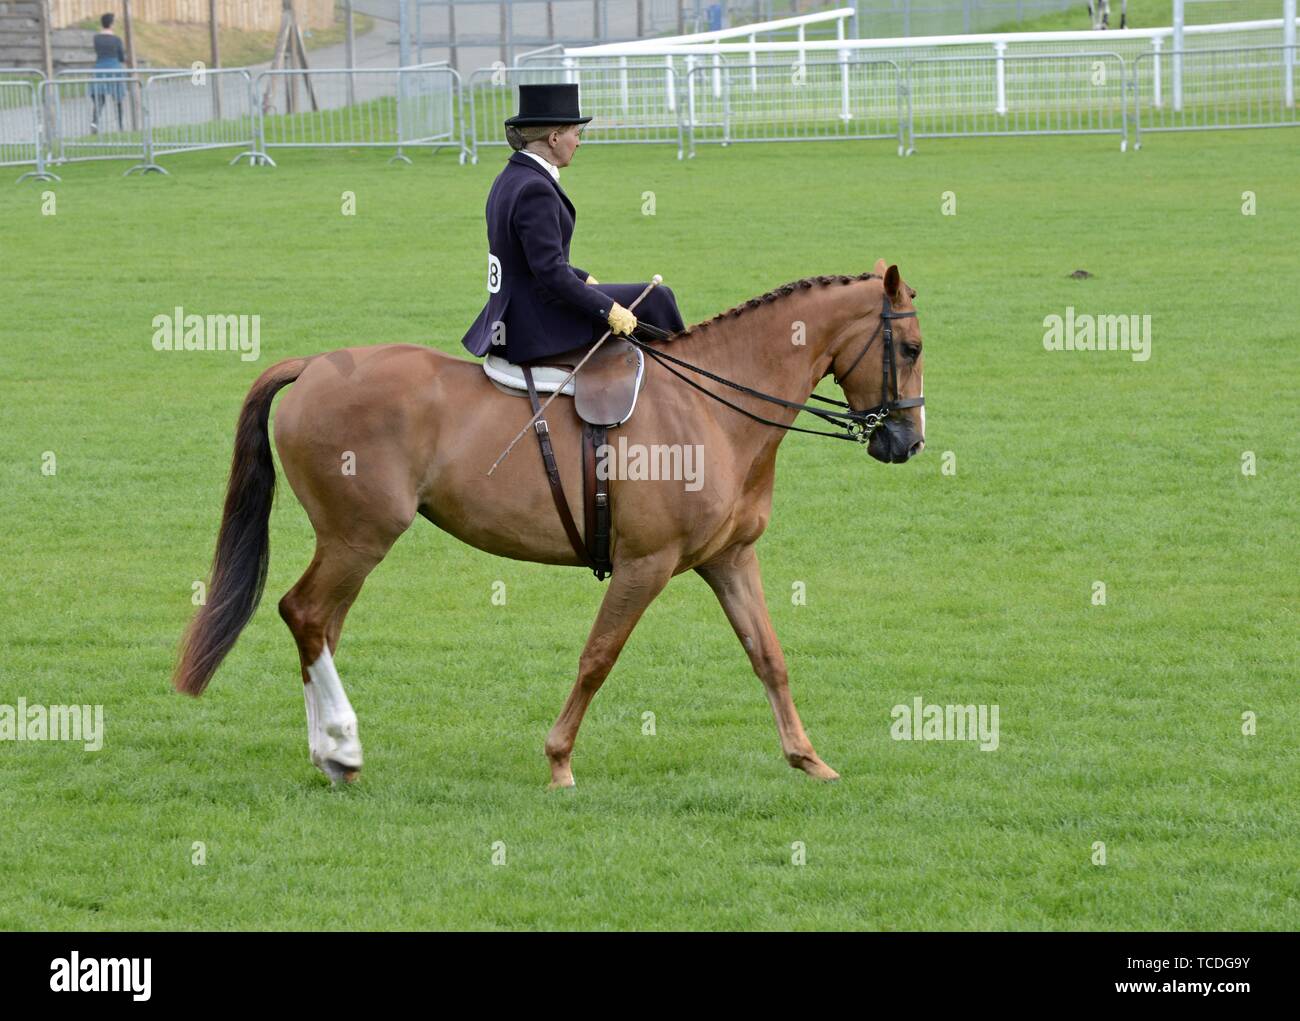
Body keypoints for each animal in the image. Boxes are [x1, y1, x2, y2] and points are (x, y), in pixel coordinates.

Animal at [172, 258, 925, 785]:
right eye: (912, 348)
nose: (908, 443)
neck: (710, 407)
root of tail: (313, 367)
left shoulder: (729, 559)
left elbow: (768, 655)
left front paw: (808, 759)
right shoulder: (646, 565)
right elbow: (599, 656)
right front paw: (560, 760)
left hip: (351, 543)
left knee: (321, 626)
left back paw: (330, 752)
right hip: (359, 538)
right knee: (305, 614)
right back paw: (343, 748)